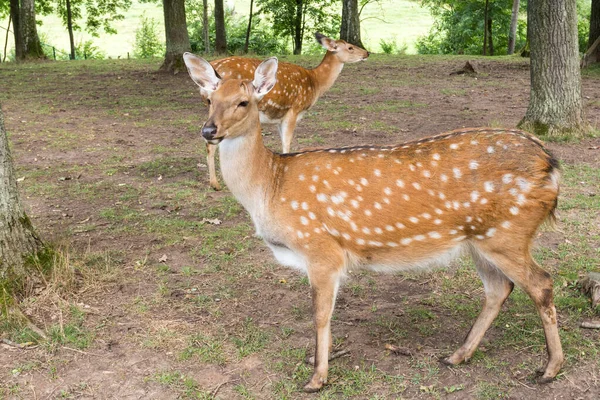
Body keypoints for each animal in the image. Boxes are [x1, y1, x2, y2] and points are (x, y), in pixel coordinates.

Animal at [183, 54, 564, 392]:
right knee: (500, 289)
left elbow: (320, 314)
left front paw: (317, 378)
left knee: (541, 282)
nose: (208, 130)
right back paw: (457, 355)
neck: (271, 187)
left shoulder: (321, 250)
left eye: (244, 102)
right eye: (209, 99)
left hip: (507, 233)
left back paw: (549, 369)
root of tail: (552, 166)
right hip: (479, 239)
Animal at [195, 32, 368, 189]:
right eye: (350, 47)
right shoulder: (294, 109)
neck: (315, 82)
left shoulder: (280, 117)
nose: (367, 53)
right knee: (211, 144)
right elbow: (287, 143)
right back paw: (215, 184)